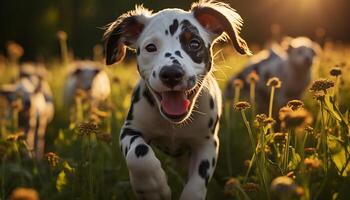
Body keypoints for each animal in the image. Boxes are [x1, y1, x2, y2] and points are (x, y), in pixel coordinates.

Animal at [102, 0, 250, 199]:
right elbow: (139, 155)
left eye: (194, 44)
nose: (171, 73)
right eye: (150, 47)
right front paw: (153, 188)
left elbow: (196, 183)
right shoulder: (130, 130)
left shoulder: (207, 142)